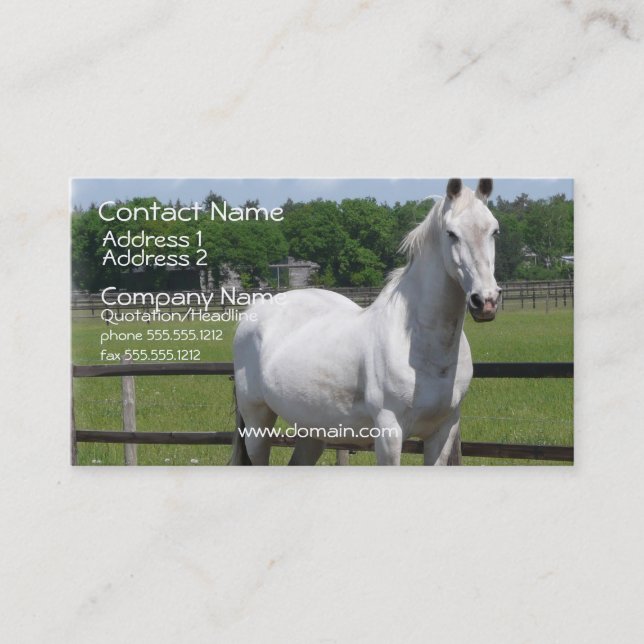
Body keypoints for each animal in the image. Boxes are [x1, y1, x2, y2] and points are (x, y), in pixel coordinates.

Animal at [230, 178, 500, 466]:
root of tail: (255, 311)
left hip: (312, 429)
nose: (485, 300)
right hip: (258, 423)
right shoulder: (389, 432)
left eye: (494, 231)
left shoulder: (443, 431)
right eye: (451, 233)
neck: (419, 343)